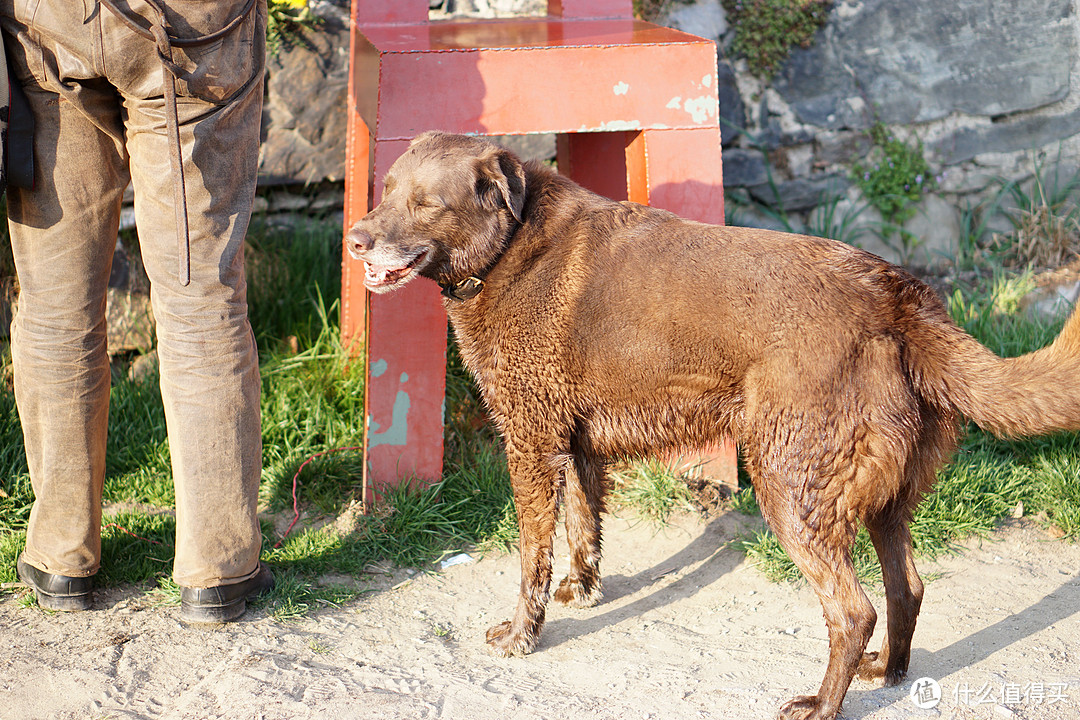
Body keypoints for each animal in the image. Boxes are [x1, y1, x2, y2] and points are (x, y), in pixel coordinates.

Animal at [347, 132, 1080, 716]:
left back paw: (821, 706)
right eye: (385, 191)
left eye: (426, 204)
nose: (356, 238)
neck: (511, 248)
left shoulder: (530, 439)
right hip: (882, 498)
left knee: (854, 611)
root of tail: (896, 293)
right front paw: (582, 590)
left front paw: (523, 635)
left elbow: (533, 554)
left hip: (790, 487)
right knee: (908, 590)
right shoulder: (575, 443)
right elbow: (584, 524)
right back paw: (888, 674)